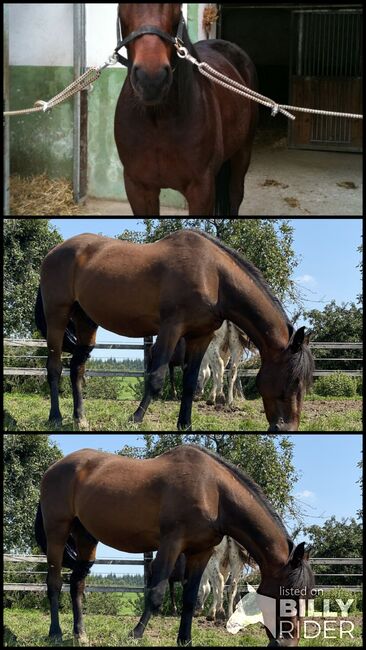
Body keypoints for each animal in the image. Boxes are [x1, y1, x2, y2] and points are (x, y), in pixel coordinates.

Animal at [35, 228, 314, 430]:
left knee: (77, 369)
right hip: (57, 316)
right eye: (292, 379)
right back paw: (55, 417)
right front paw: (136, 418)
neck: (213, 276)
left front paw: (185, 423)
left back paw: (80, 418)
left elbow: (191, 381)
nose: (287, 427)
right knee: (54, 368)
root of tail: (52, 253)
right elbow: (157, 376)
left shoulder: (201, 336)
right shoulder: (171, 329)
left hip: (86, 322)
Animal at [35, 442, 314, 644]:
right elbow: (156, 593)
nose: (289, 642)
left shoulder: (201, 552)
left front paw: (185, 639)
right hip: (57, 532)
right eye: (289, 595)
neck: (213, 492)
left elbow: (191, 598)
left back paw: (80, 634)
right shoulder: (171, 544)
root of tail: (53, 469)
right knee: (54, 583)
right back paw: (55, 633)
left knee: (77, 585)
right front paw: (135, 634)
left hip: (86, 538)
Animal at [114, 3, 258, 215]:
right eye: (122, 6)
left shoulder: (201, 189)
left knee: (235, 193)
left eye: (177, 7)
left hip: (243, 150)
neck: (157, 120)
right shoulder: (138, 188)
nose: (151, 80)